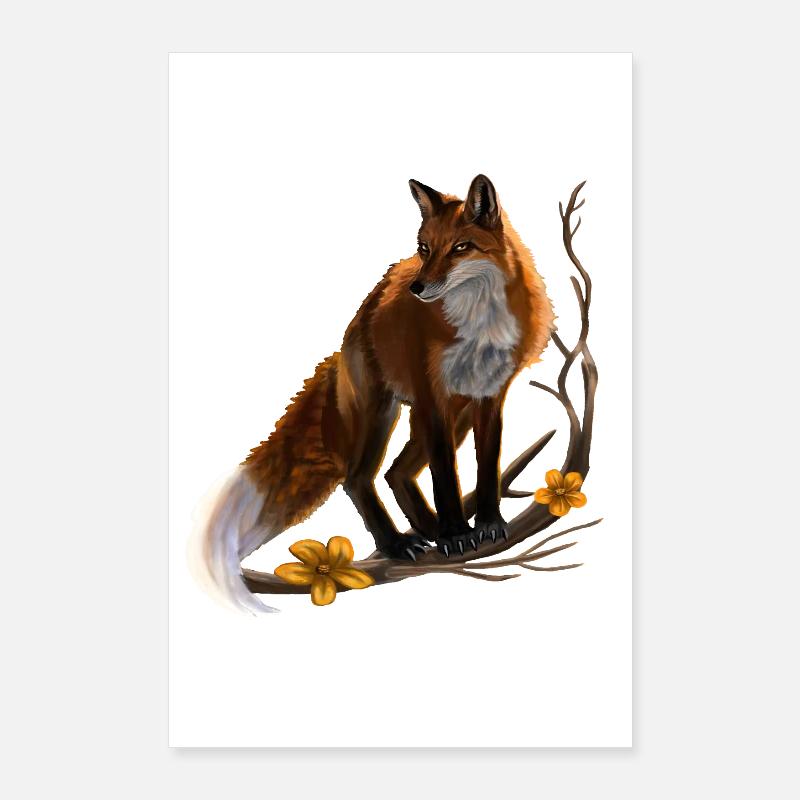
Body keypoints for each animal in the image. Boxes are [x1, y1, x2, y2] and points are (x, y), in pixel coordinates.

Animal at [196, 175, 555, 613]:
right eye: (425, 248)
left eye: (461, 248)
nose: (418, 287)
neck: (478, 326)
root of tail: (355, 326)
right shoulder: (432, 396)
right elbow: (445, 479)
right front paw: (455, 534)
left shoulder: (490, 396)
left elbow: (486, 467)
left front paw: (487, 524)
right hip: (384, 414)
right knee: (358, 478)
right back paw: (399, 542)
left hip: (454, 414)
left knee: (395, 471)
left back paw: (426, 530)